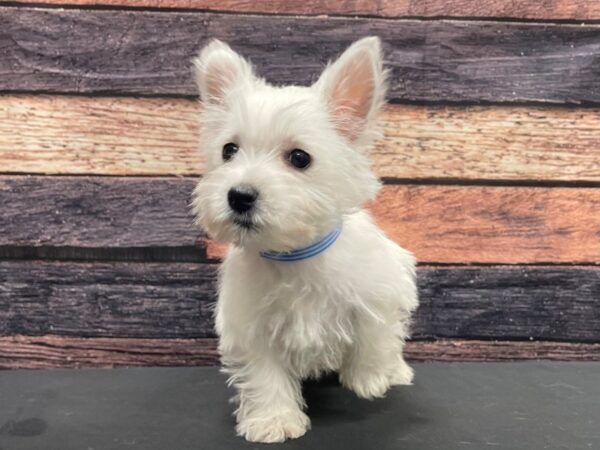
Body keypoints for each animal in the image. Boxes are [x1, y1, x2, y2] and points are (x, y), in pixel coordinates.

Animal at [192, 36, 418, 442]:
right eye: (229, 150)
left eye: (299, 158)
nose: (239, 195)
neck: (293, 254)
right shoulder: (251, 323)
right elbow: (265, 374)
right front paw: (273, 420)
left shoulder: (382, 290)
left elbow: (375, 335)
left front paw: (369, 379)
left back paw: (395, 372)